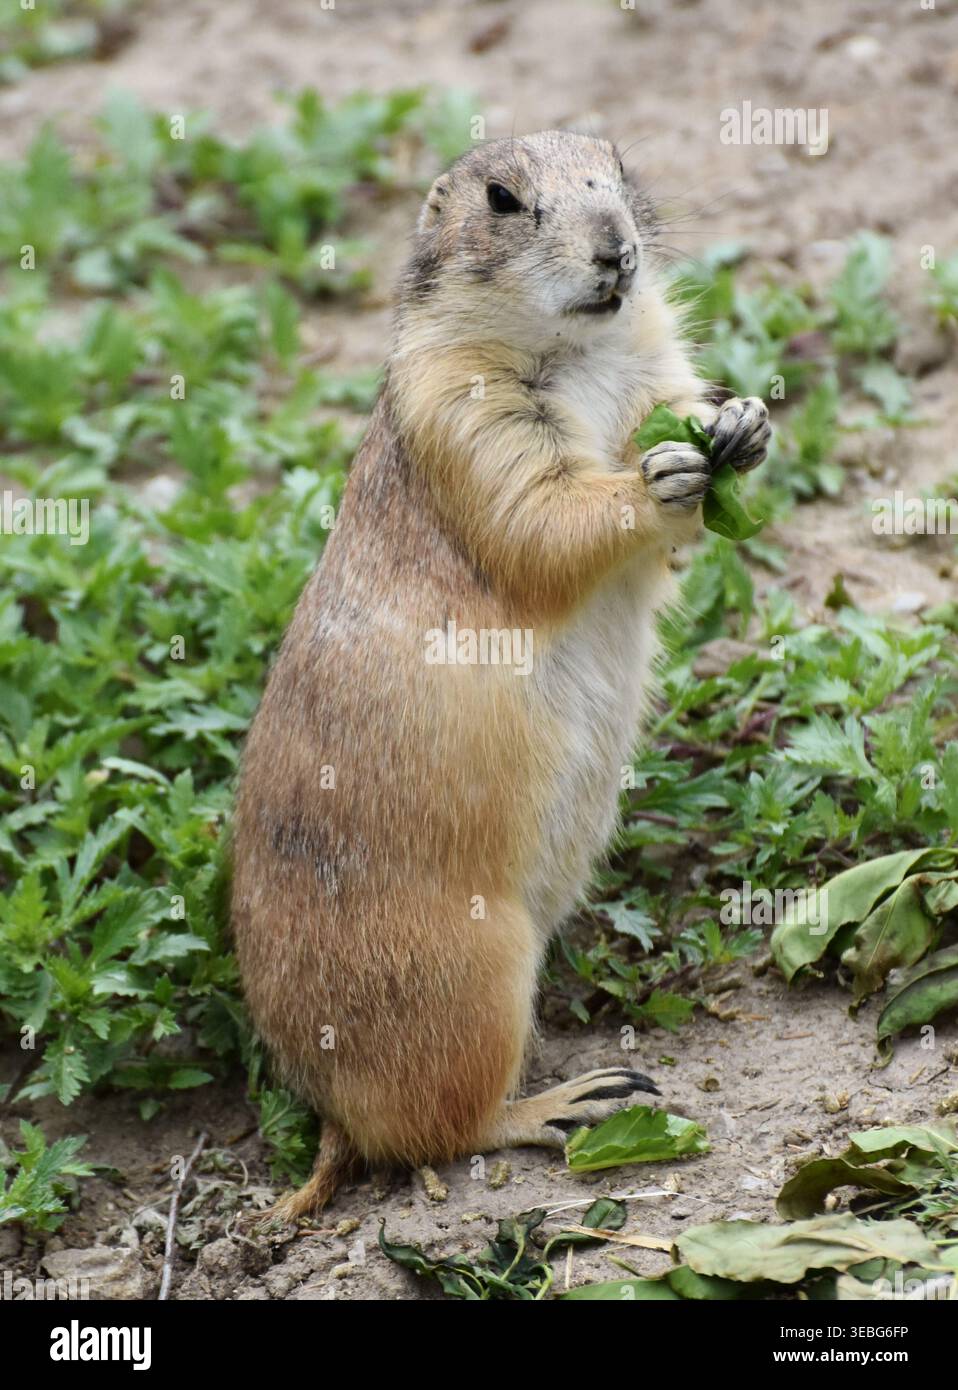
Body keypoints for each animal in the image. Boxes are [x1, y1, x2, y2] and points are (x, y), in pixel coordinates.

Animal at [232, 130, 770, 1220]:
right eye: (502, 199)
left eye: (615, 167)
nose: (616, 247)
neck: (583, 351)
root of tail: (327, 1112)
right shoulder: (464, 414)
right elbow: (543, 514)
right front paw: (664, 475)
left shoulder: (651, 359)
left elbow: (674, 418)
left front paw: (740, 418)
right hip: (474, 971)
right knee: (437, 1130)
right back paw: (580, 1097)